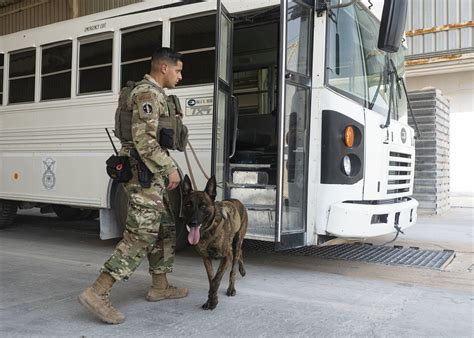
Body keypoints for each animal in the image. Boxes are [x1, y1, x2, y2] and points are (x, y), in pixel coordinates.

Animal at [181, 176, 248, 310]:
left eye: (203, 206)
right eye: (188, 205)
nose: (192, 223)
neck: (208, 231)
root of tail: (236, 200)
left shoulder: (227, 257)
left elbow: (216, 279)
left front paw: (213, 301)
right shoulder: (206, 258)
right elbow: (211, 280)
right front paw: (210, 300)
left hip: (237, 241)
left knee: (234, 265)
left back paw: (232, 287)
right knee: (240, 253)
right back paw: (242, 269)